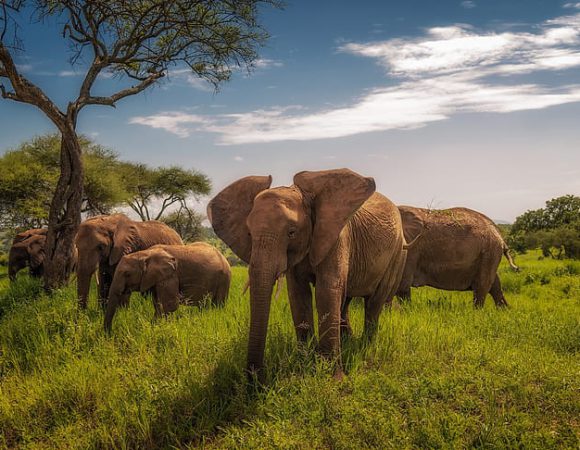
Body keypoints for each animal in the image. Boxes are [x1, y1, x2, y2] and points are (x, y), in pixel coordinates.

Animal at [208, 169, 408, 380]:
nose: (255, 380)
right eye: (249, 234)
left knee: (374, 302)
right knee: (345, 300)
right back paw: (348, 340)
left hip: (398, 254)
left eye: (292, 232)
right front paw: (305, 364)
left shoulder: (337, 237)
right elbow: (298, 294)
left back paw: (365, 345)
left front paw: (332, 377)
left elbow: (326, 291)